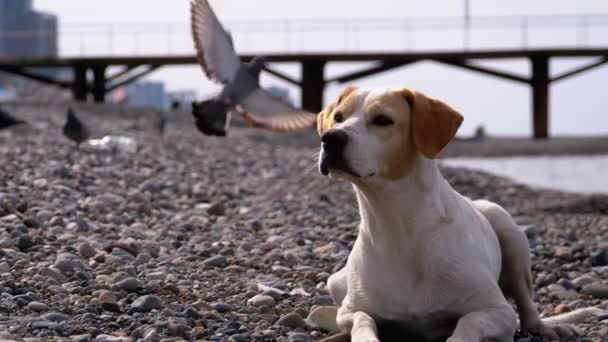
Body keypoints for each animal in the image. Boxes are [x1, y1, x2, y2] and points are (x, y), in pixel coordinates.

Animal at [318, 87, 604, 340]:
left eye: (382, 120)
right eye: (338, 117)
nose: (330, 138)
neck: (399, 224)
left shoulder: (497, 311)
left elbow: (469, 323)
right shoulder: (349, 311)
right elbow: (363, 320)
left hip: (507, 228)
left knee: (528, 313)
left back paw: (549, 328)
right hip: (335, 282)